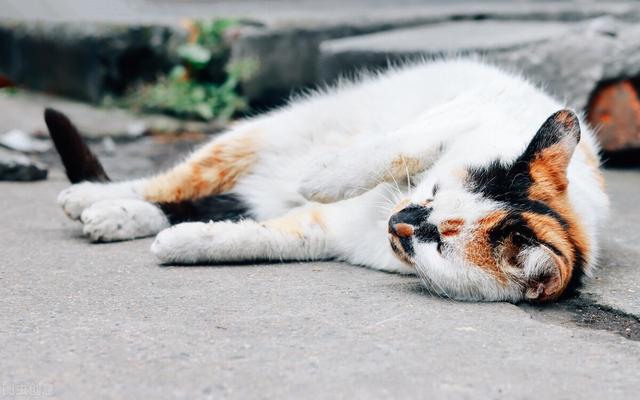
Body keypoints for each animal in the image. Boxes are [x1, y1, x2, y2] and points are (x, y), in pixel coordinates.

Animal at [45, 58, 604, 304]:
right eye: (433, 193)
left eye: (438, 244)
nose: (400, 220)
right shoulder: (461, 112)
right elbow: (398, 146)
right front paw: (326, 176)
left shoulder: (322, 233)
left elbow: (254, 241)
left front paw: (184, 245)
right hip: (262, 133)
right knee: (176, 180)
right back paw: (96, 197)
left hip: (260, 187)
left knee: (212, 204)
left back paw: (116, 218)